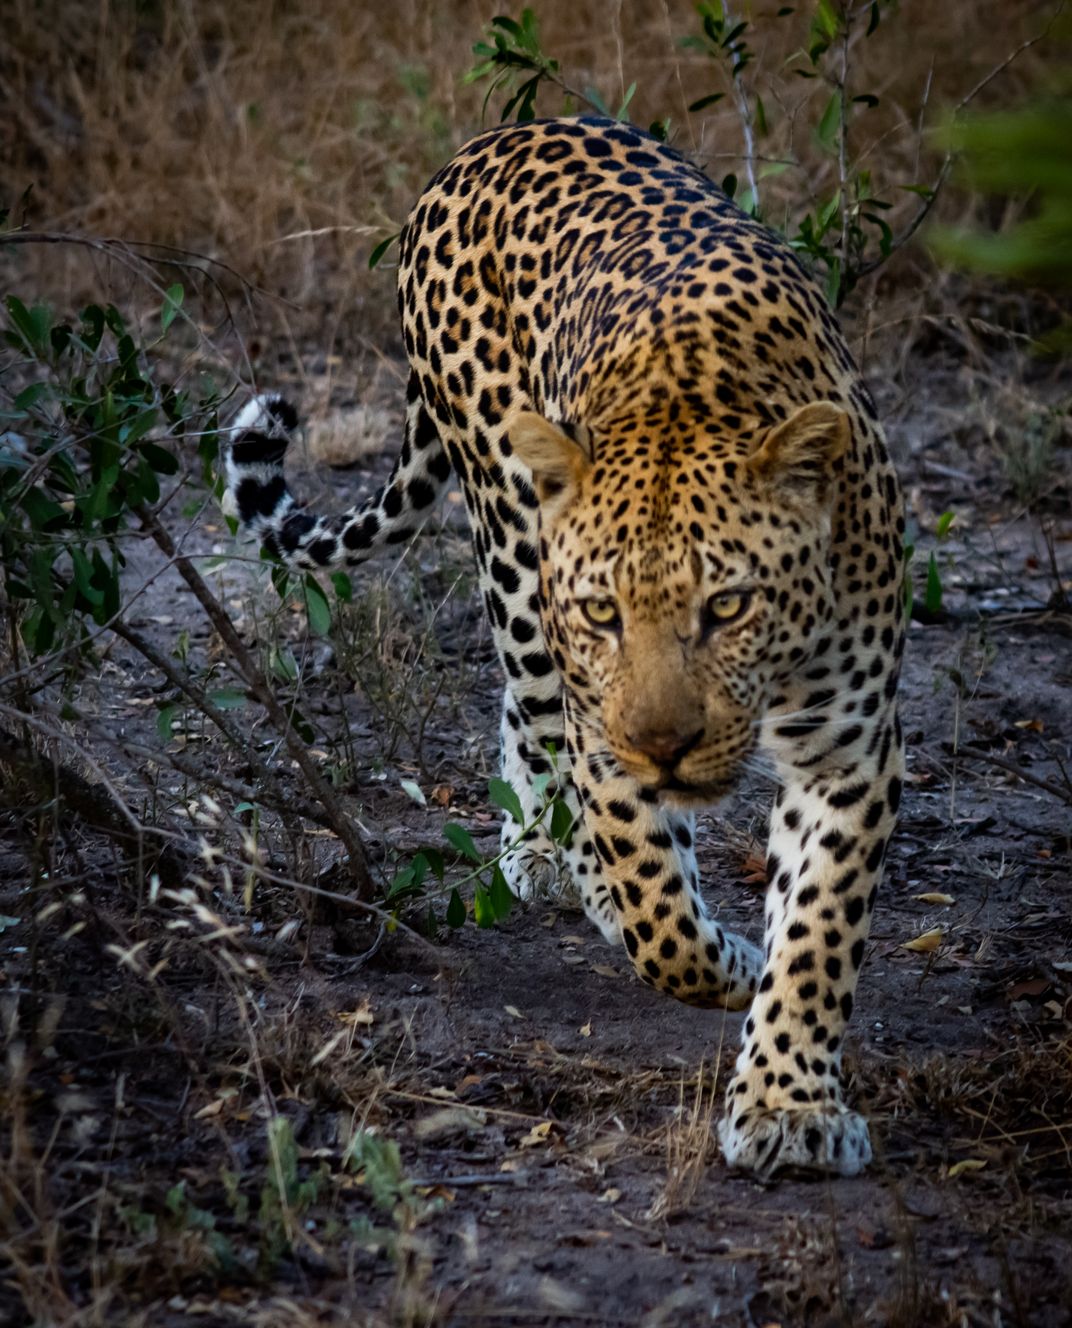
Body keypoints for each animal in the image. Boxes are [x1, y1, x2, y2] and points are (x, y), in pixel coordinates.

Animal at [225, 116, 905, 1178]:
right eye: (603, 613)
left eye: (729, 605)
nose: (665, 748)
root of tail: (490, 141)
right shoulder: (601, 720)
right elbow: (659, 914)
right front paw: (723, 961)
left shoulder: (851, 744)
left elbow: (821, 931)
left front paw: (789, 1104)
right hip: (510, 536)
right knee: (531, 699)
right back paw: (554, 856)